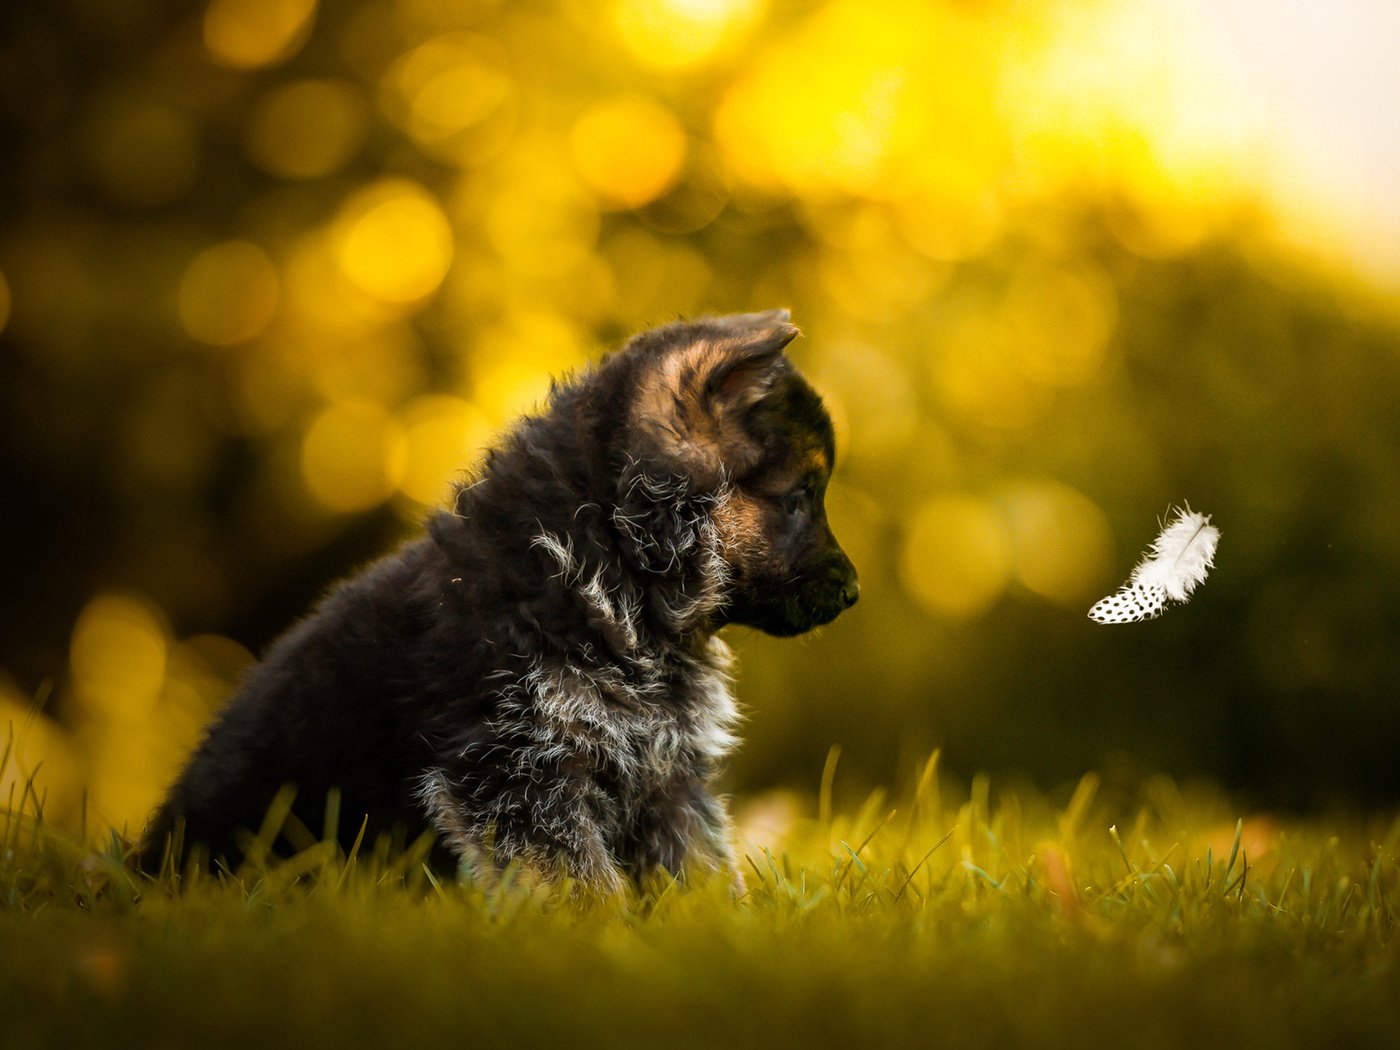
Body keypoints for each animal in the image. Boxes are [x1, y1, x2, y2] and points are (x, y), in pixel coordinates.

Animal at [147, 312, 856, 896]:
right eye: (799, 499)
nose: (853, 592)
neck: (609, 569)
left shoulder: (667, 776)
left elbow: (700, 870)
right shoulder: (519, 775)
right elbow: (580, 883)